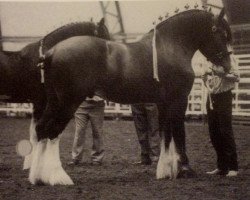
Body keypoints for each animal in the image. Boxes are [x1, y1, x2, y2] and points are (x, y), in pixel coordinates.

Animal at [0, 19, 110, 184]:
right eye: (105, 39)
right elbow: (39, 132)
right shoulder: (42, 102)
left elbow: (35, 133)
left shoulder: (40, 104)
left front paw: (31, 167)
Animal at [33, 8, 232, 186]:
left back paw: (38, 177)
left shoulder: (163, 103)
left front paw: (165, 170)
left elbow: (165, 134)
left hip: (53, 102)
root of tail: (51, 52)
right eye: (219, 32)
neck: (170, 46)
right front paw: (185, 169)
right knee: (52, 132)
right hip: (67, 104)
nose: (227, 66)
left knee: (41, 129)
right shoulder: (179, 100)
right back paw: (59, 178)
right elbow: (178, 133)